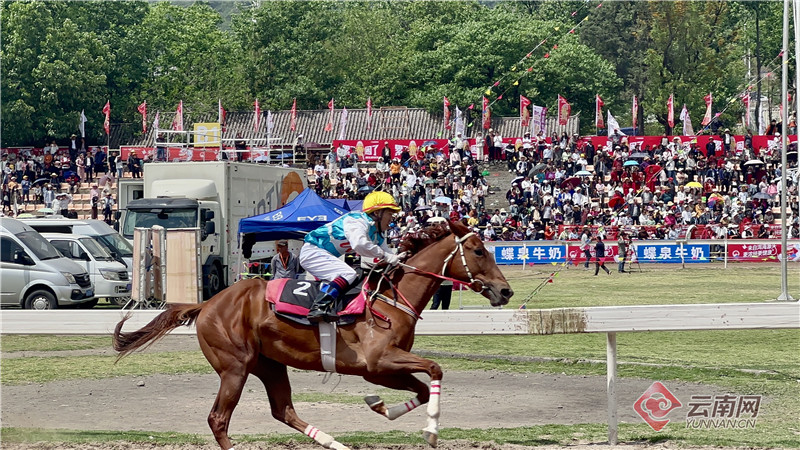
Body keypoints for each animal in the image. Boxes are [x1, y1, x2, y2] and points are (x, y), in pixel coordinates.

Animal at [112, 221, 512, 450]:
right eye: (478, 250)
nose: (505, 291)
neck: (391, 296)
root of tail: (207, 303)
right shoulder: (378, 361)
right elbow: (435, 369)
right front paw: (430, 431)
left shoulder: (380, 370)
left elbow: (424, 387)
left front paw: (380, 406)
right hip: (235, 366)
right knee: (218, 419)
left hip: (270, 364)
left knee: (284, 410)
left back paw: (335, 443)